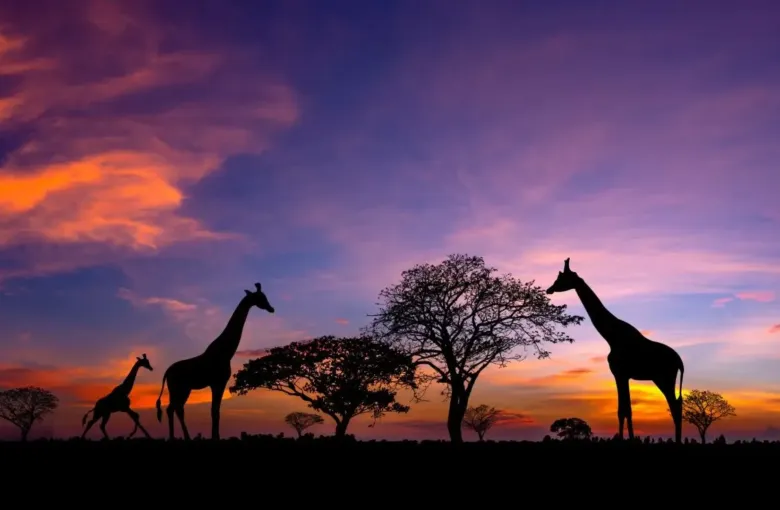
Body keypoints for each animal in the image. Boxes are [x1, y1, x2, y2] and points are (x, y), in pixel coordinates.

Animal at [155, 282, 275, 440]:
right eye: (260, 297)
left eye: (265, 296)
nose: (271, 308)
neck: (226, 352)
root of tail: (167, 372)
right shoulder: (218, 382)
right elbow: (214, 411)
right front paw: (215, 437)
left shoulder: (218, 383)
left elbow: (216, 411)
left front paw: (215, 436)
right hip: (179, 388)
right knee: (175, 408)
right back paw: (181, 437)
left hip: (181, 389)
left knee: (173, 408)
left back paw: (177, 437)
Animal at [545, 258, 685, 443]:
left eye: (561, 278)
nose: (549, 289)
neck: (611, 336)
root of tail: (680, 363)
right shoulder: (622, 375)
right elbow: (624, 410)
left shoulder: (620, 373)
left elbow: (624, 411)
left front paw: (627, 440)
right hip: (661, 379)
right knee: (677, 405)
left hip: (664, 379)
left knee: (675, 406)